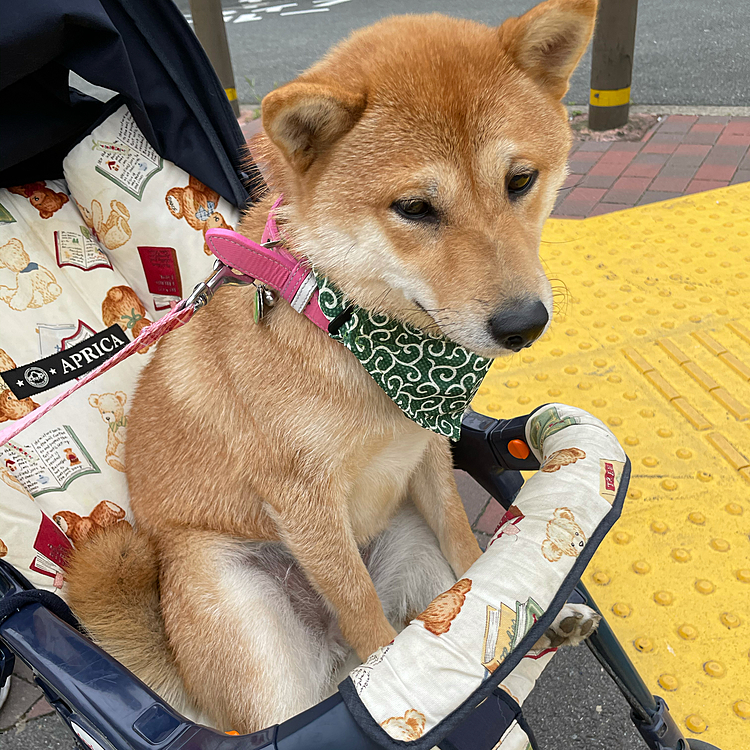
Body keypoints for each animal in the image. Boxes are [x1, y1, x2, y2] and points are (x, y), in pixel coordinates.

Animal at [67, 0, 604, 736]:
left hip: (407, 545)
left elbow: (476, 563)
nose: (524, 324)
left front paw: (517, 605)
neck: (345, 326)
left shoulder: (426, 453)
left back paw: (545, 627)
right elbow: (369, 624)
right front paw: (398, 685)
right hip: (243, 610)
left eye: (520, 180)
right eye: (415, 208)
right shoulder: (305, 504)